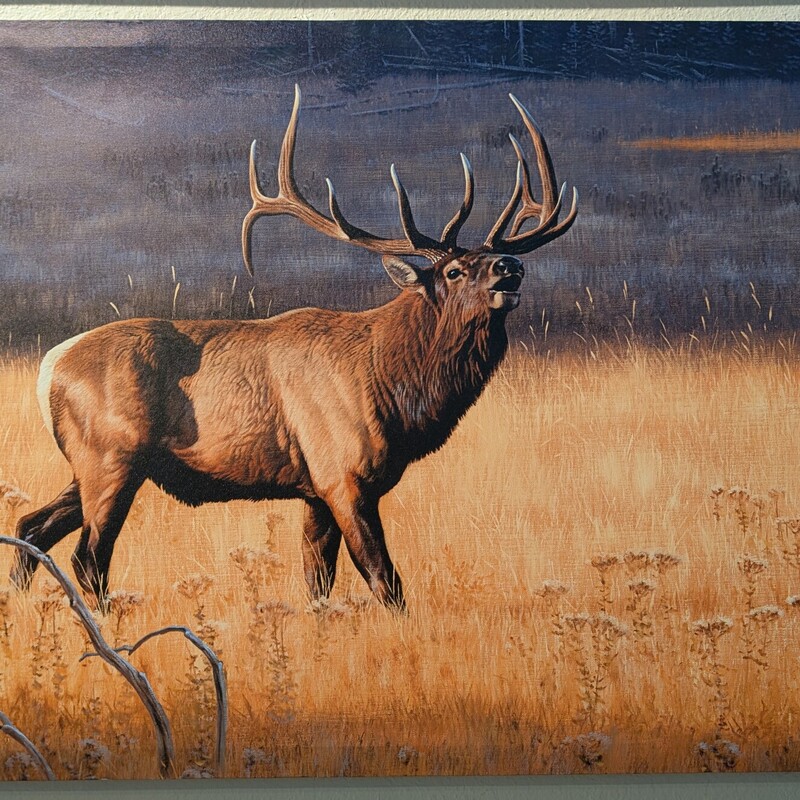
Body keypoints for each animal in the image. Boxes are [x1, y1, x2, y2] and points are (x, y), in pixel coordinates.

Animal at [10, 85, 577, 611]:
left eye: (495, 260)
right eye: (455, 270)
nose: (511, 266)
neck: (393, 388)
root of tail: (48, 368)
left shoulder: (314, 489)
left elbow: (318, 582)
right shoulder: (342, 474)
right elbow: (386, 582)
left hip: (92, 462)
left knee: (31, 526)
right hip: (112, 455)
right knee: (88, 555)